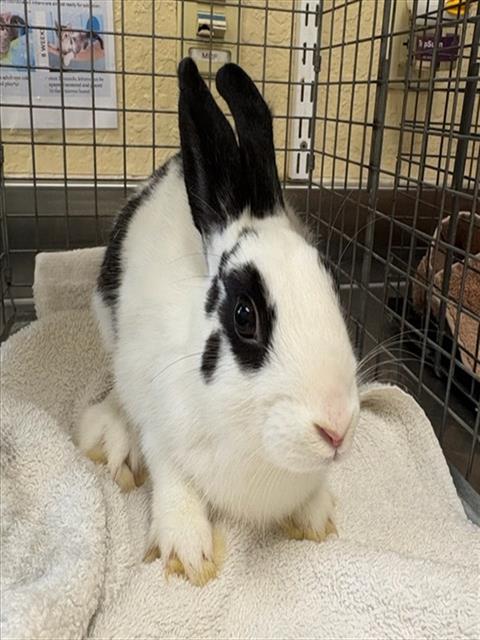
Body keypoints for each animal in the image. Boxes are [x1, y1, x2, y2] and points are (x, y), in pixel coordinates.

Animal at [75, 58, 360, 586]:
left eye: (331, 285)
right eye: (245, 316)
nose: (335, 428)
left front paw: (316, 517)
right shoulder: (163, 430)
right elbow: (172, 479)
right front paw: (189, 551)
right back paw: (115, 441)